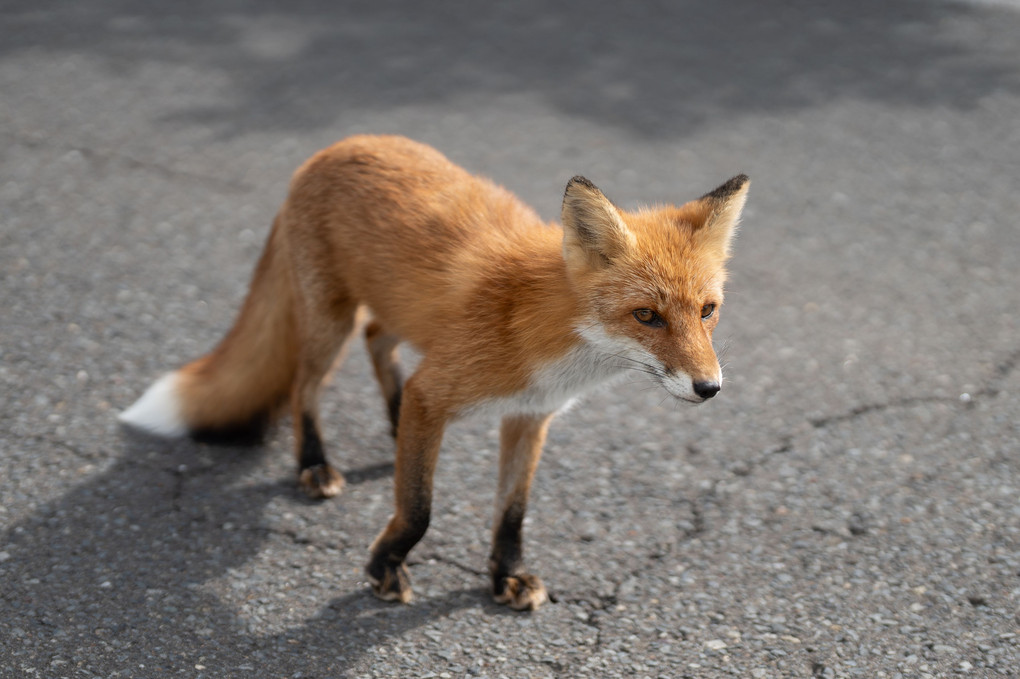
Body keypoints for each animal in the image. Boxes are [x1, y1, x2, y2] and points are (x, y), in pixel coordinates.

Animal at [119, 132, 750, 607]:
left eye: (707, 311)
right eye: (647, 316)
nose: (710, 388)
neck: (538, 331)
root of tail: (337, 145)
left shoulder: (529, 416)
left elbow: (512, 513)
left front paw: (505, 576)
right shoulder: (439, 388)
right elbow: (418, 508)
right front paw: (384, 568)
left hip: (399, 315)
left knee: (378, 343)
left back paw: (391, 418)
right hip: (329, 324)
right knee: (304, 386)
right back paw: (314, 462)